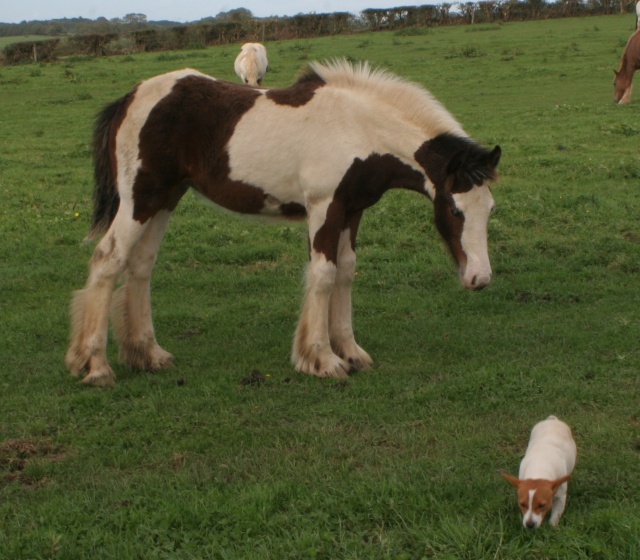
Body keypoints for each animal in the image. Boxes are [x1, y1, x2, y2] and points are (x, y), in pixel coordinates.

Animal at [67, 60, 502, 384]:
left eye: (490, 208)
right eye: (455, 209)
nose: (479, 278)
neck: (357, 128)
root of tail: (130, 97)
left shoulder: (352, 210)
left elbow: (346, 272)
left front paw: (351, 353)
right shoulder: (325, 207)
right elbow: (323, 275)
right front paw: (322, 359)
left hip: (165, 198)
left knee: (141, 266)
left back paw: (147, 353)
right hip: (138, 198)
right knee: (108, 259)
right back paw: (94, 365)